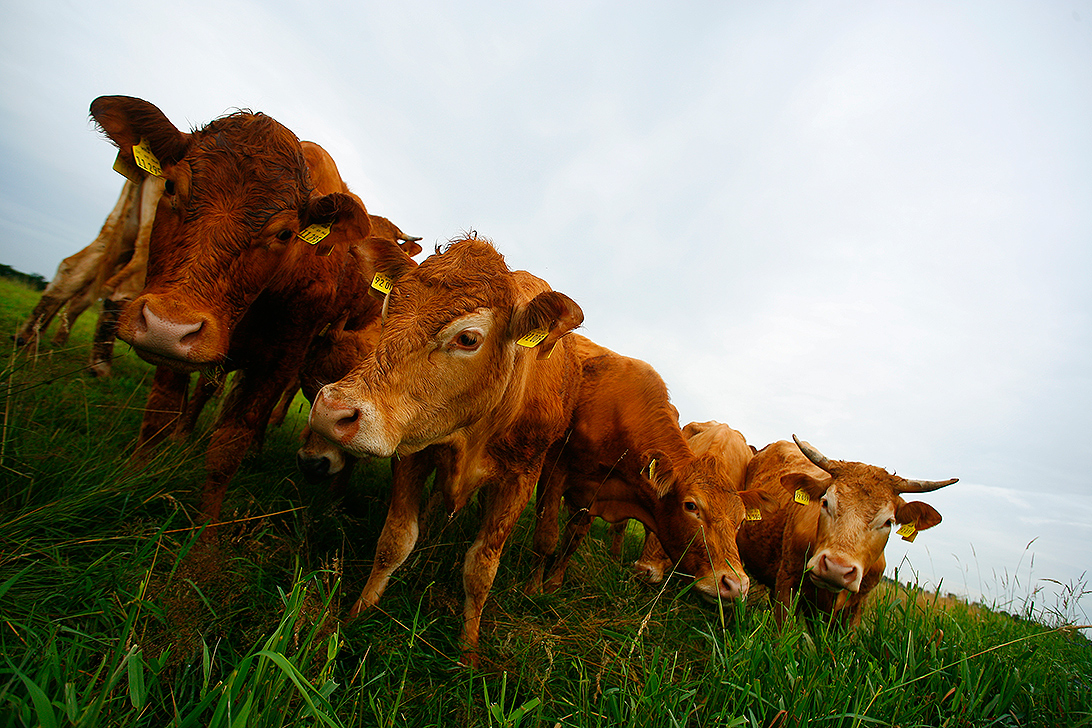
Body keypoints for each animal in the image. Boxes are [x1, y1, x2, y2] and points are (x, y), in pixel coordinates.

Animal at [89, 95, 415, 523]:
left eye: (285, 233)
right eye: (171, 186)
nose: (167, 326)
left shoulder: (280, 359)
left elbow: (230, 445)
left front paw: (206, 529)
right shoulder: (179, 346)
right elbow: (161, 413)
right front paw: (133, 478)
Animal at [307, 237, 585, 663]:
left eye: (468, 338)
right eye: (388, 310)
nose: (332, 410)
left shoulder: (522, 477)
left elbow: (482, 565)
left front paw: (468, 649)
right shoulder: (414, 452)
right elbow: (395, 540)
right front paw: (359, 611)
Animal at [527, 345, 773, 606]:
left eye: (740, 522)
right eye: (691, 506)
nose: (735, 585)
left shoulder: (591, 494)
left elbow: (572, 540)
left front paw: (553, 584)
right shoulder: (554, 469)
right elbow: (546, 538)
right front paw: (533, 591)